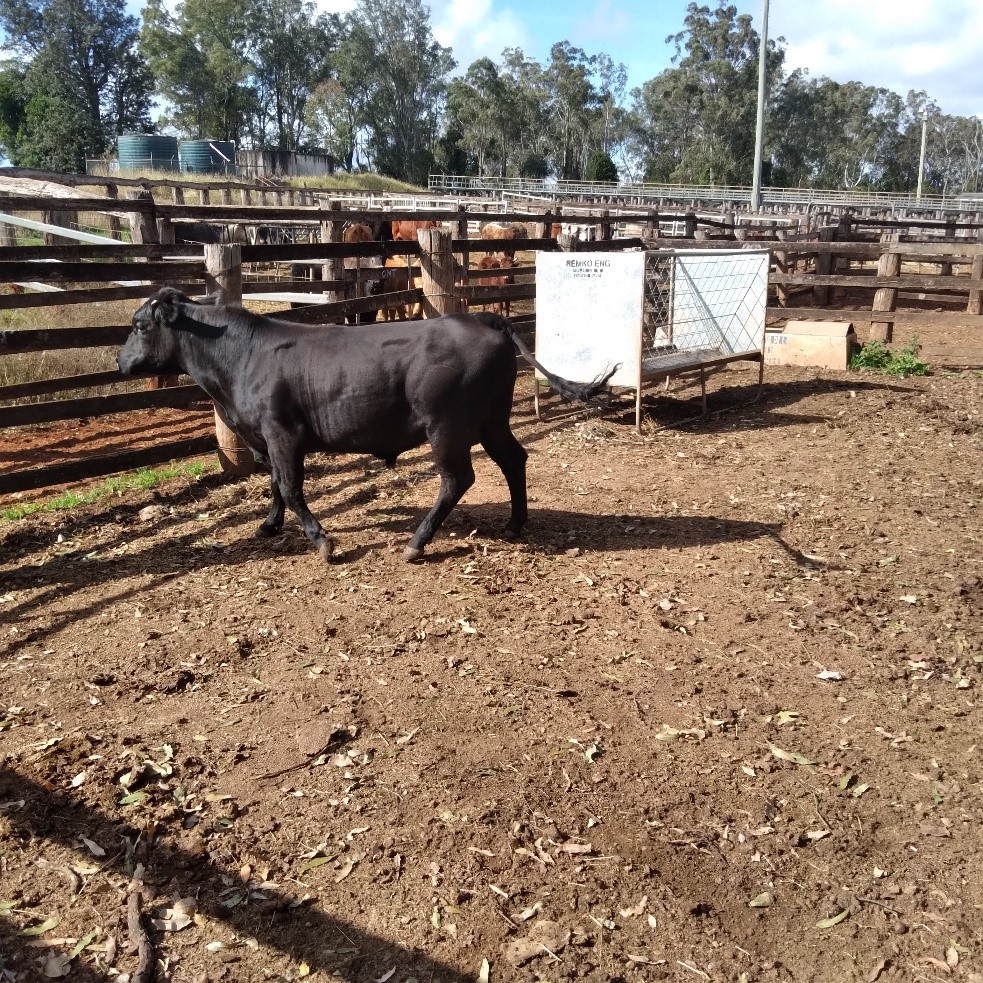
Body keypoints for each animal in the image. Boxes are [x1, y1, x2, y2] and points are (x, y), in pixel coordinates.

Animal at [117, 288, 616, 560]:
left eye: (139, 325)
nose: (119, 361)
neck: (242, 354)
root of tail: (481, 317)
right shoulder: (265, 437)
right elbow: (274, 484)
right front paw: (269, 525)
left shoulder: (283, 433)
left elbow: (290, 486)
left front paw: (321, 541)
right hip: (492, 420)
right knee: (514, 459)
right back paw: (514, 524)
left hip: (448, 428)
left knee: (457, 479)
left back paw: (417, 542)